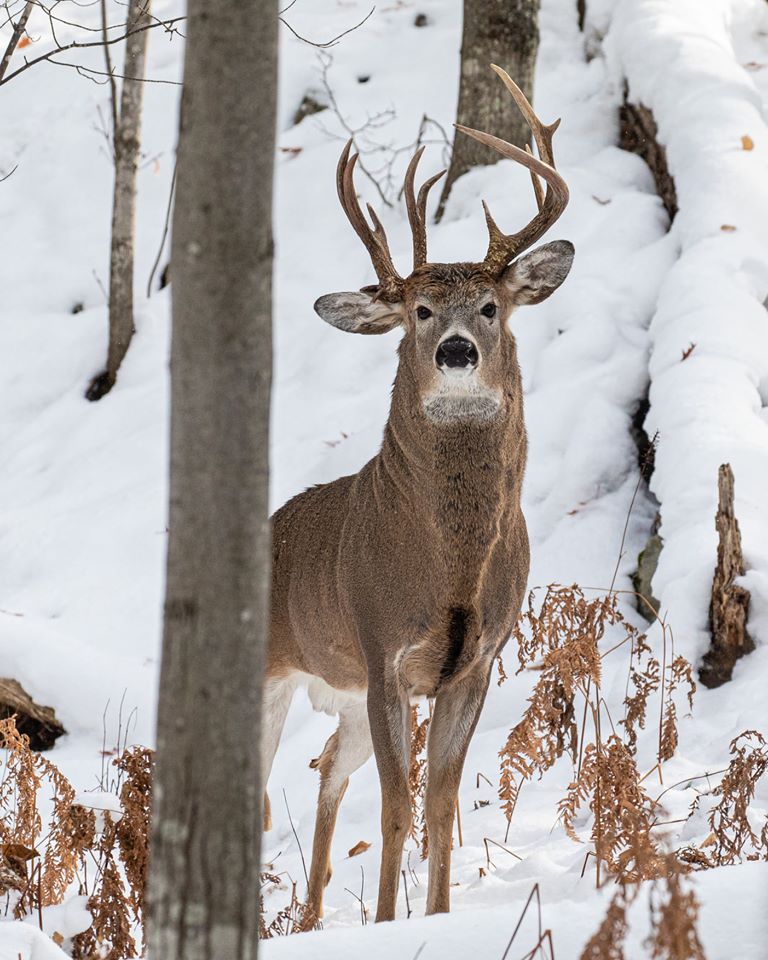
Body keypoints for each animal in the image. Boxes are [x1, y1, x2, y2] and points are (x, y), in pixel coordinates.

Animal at [264, 67, 568, 924]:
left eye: (491, 307)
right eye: (419, 310)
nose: (457, 351)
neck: (449, 570)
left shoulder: (477, 660)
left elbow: (439, 801)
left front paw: (433, 918)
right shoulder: (382, 652)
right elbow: (399, 807)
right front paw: (387, 926)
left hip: (342, 696)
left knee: (327, 767)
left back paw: (309, 919)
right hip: (273, 669)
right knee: (258, 791)